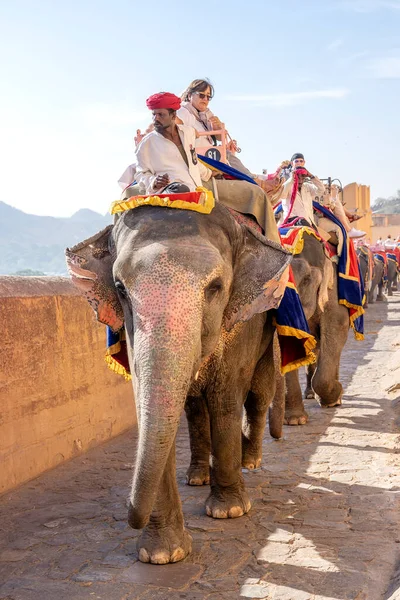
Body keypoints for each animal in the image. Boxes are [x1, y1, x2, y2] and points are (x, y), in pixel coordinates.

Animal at [65, 204, 290, 564]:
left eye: (215, 287)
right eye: (120, 287)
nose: (130, 513)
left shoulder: (244, 321)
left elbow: (225, 397)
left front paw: (229, 512)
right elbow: (152, 405)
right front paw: (161, 555)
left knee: (256, 396)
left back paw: (250, 462)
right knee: (195, 409)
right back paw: (198, 476)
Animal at [284, 232, 350, 424]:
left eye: (305, 280)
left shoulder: (333, 288)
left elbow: (336, 325)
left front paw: (333, 399)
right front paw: (295, 421)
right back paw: (310, 395)